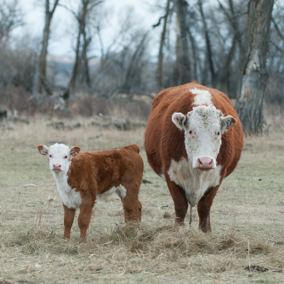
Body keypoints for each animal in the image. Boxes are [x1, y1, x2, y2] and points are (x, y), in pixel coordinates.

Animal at [145, 81, 243, 232]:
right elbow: (180, 207)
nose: (205, 162)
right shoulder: (171, 174)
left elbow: (205, 207)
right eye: (190, 131)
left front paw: (205, 232)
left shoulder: (217, 176)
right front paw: (178, 230)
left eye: (218, 133)